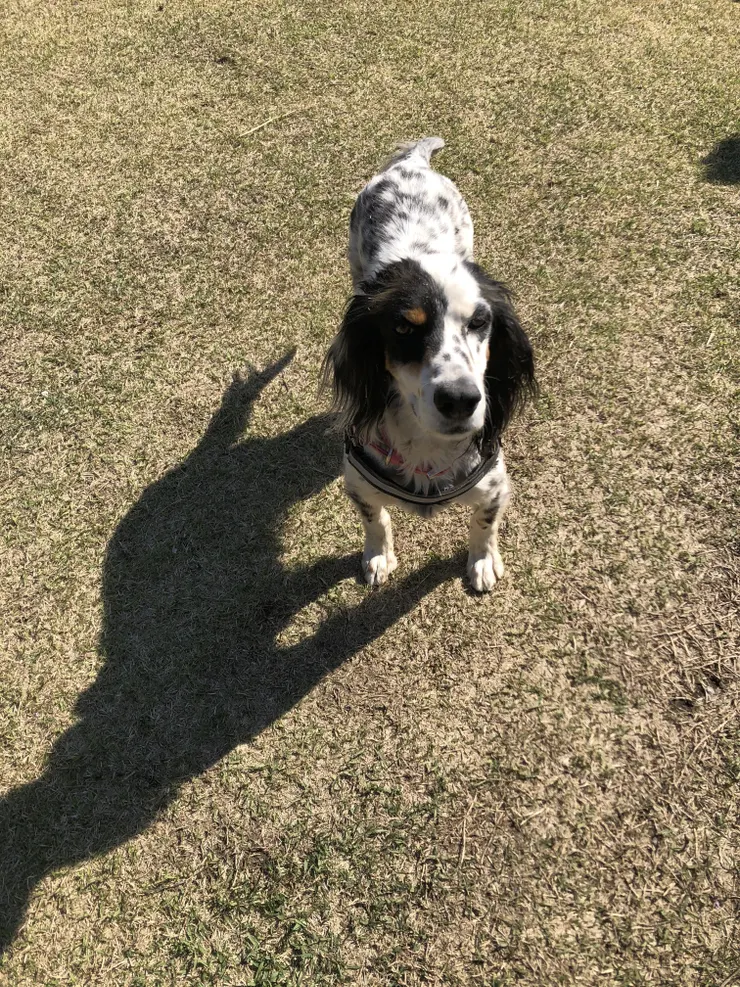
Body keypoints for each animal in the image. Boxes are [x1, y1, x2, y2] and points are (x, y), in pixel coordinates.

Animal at [323, 137, 536, 592]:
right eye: (404, 326)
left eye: (480, 322)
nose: (460, 399)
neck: (426, 445)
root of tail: (412, 163)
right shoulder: (358, 483)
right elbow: (375, 520)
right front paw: (378, 556)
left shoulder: (495, 484)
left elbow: (484, 523)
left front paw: (482, 561)